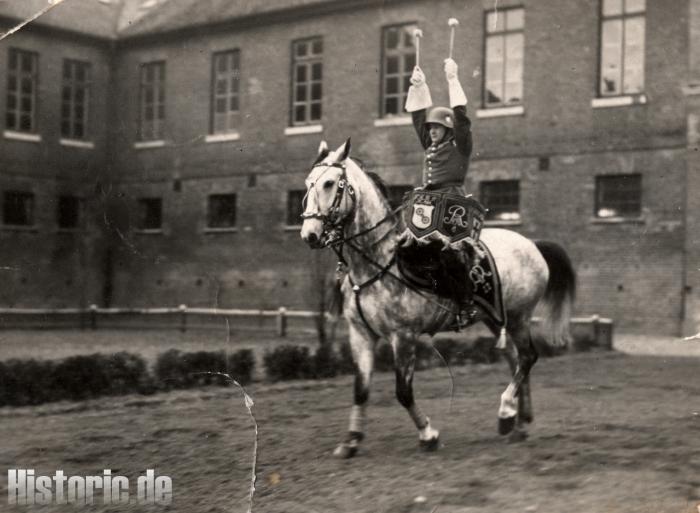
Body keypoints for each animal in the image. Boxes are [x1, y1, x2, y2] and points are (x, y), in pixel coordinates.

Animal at [298, 137, 576, 456]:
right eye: (308, 183)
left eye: (330, 183)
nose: (309, 234)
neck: (379, 261)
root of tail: (532, 244)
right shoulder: (361, 335)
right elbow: (361, 389)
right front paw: (351, 440)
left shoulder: (403, 337)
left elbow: (403, 392)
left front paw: (428, 434)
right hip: (496, 318)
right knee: (515, 359)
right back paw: (519, 424)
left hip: (519, 317)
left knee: (528, 357)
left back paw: (507, 412)